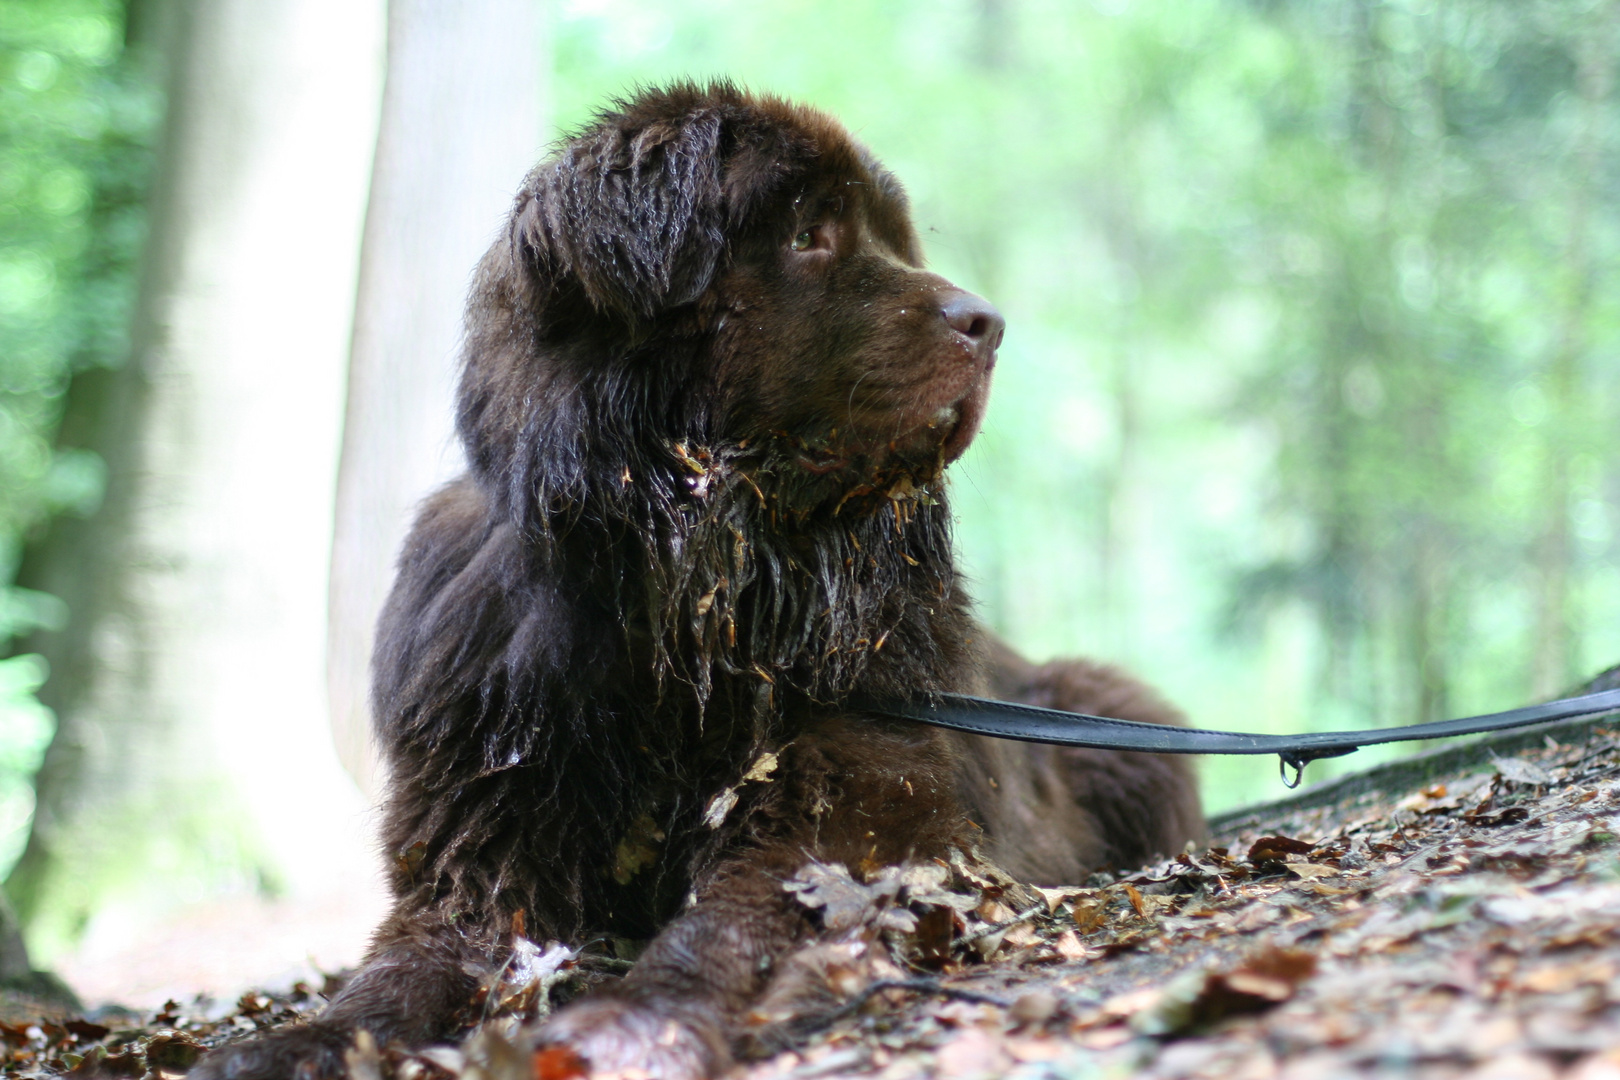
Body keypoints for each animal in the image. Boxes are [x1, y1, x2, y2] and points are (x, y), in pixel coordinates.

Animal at [192, 82, 1205, 1080]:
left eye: (890, 239)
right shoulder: (478, 842)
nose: (989, 323)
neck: (683, 608)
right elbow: (398, 973)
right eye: (809, 232)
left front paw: (633, 1024)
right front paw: (290, 1046)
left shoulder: (851, 811)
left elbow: (726, 925)